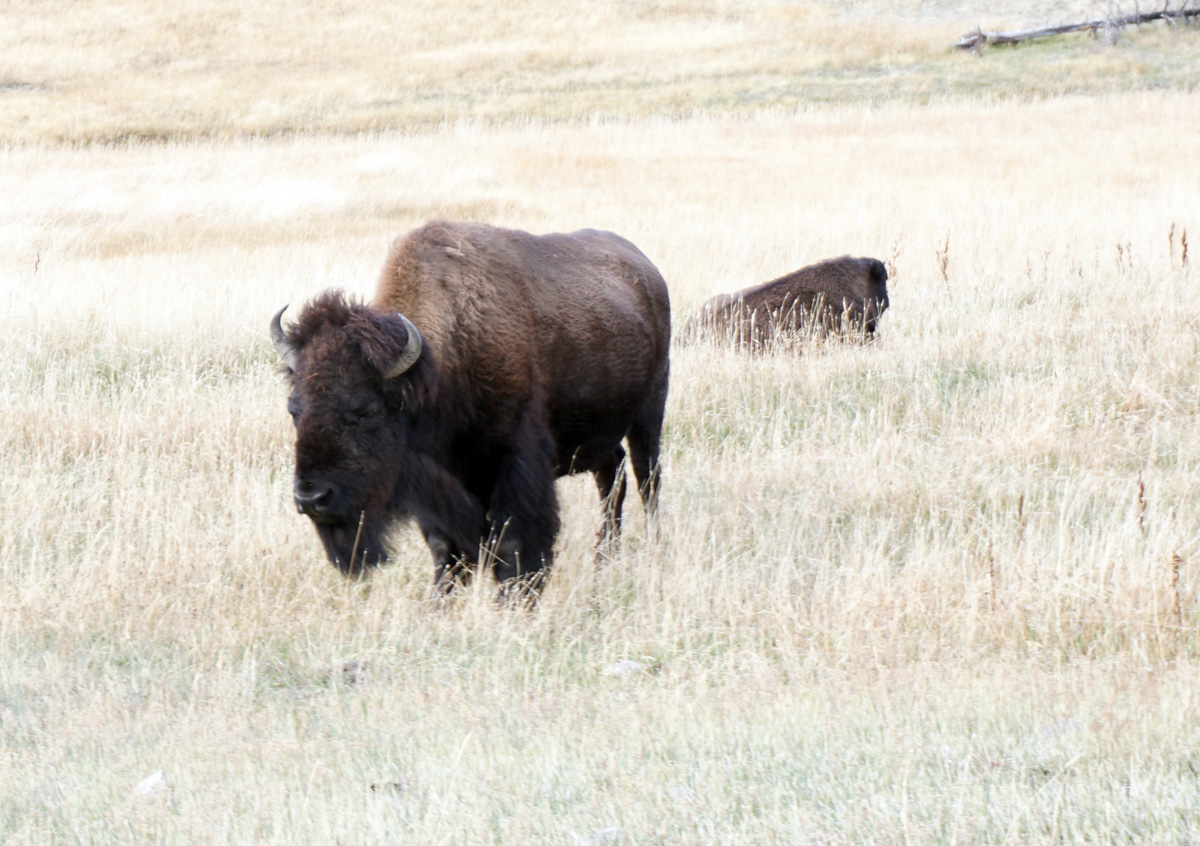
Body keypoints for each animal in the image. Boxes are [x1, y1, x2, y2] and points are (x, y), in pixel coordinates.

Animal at [271, 221, 670, 599]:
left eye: (365, 410)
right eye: (294, 409)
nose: (311, 498)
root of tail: (649, 273)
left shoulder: (517, 465)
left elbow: (513, 544)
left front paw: (516, 602)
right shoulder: (442, 486)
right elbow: (444, 548)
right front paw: (440, 603)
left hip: (649, 414)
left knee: (646, 480)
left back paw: (651, 549)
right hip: (601, 433)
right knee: (612, 478)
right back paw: (604, 559)